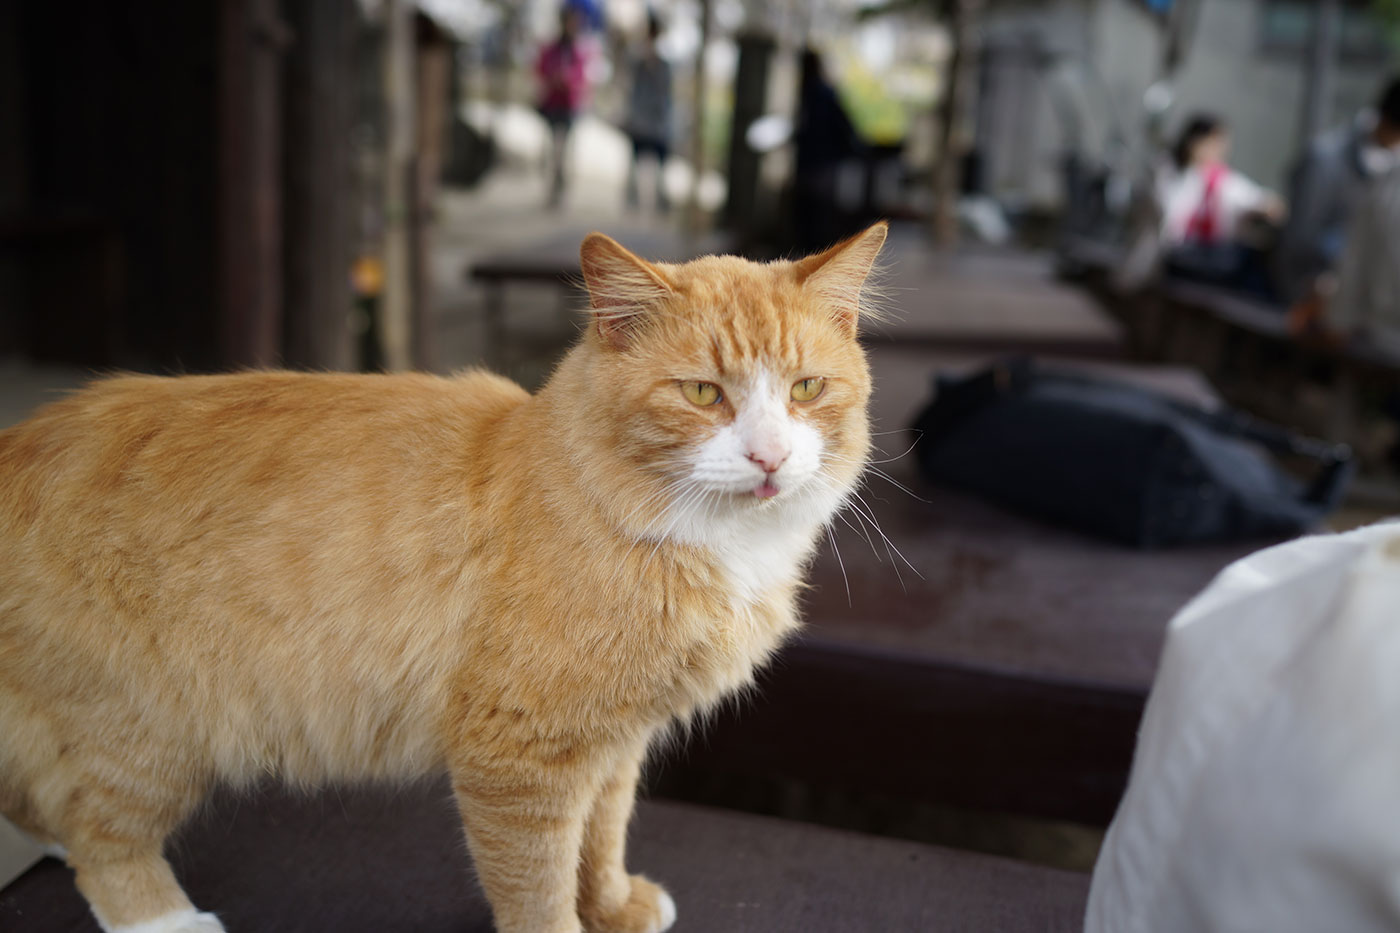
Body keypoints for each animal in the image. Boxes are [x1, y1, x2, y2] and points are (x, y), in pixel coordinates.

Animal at [0, 221, 884, 924]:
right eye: (703, 393)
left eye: (806, 388)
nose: (769, 456)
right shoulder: (519, 756)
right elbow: (539, 888)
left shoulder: (613, 744)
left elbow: (600, 840)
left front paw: (613, 906)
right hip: (147, 731)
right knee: (98, 838)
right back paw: (166, 918)